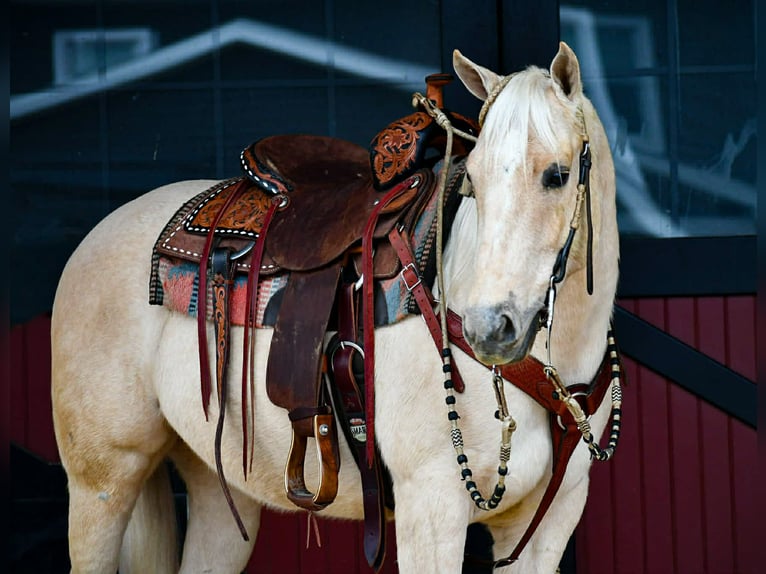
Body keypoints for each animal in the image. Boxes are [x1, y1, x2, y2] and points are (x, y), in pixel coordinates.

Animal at [51, 41, 620, 573]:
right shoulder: (431, 508)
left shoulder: (547, 525)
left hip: (216, 485)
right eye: (473, 182)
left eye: (557, 175)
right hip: (102, 481)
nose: (487, 329)